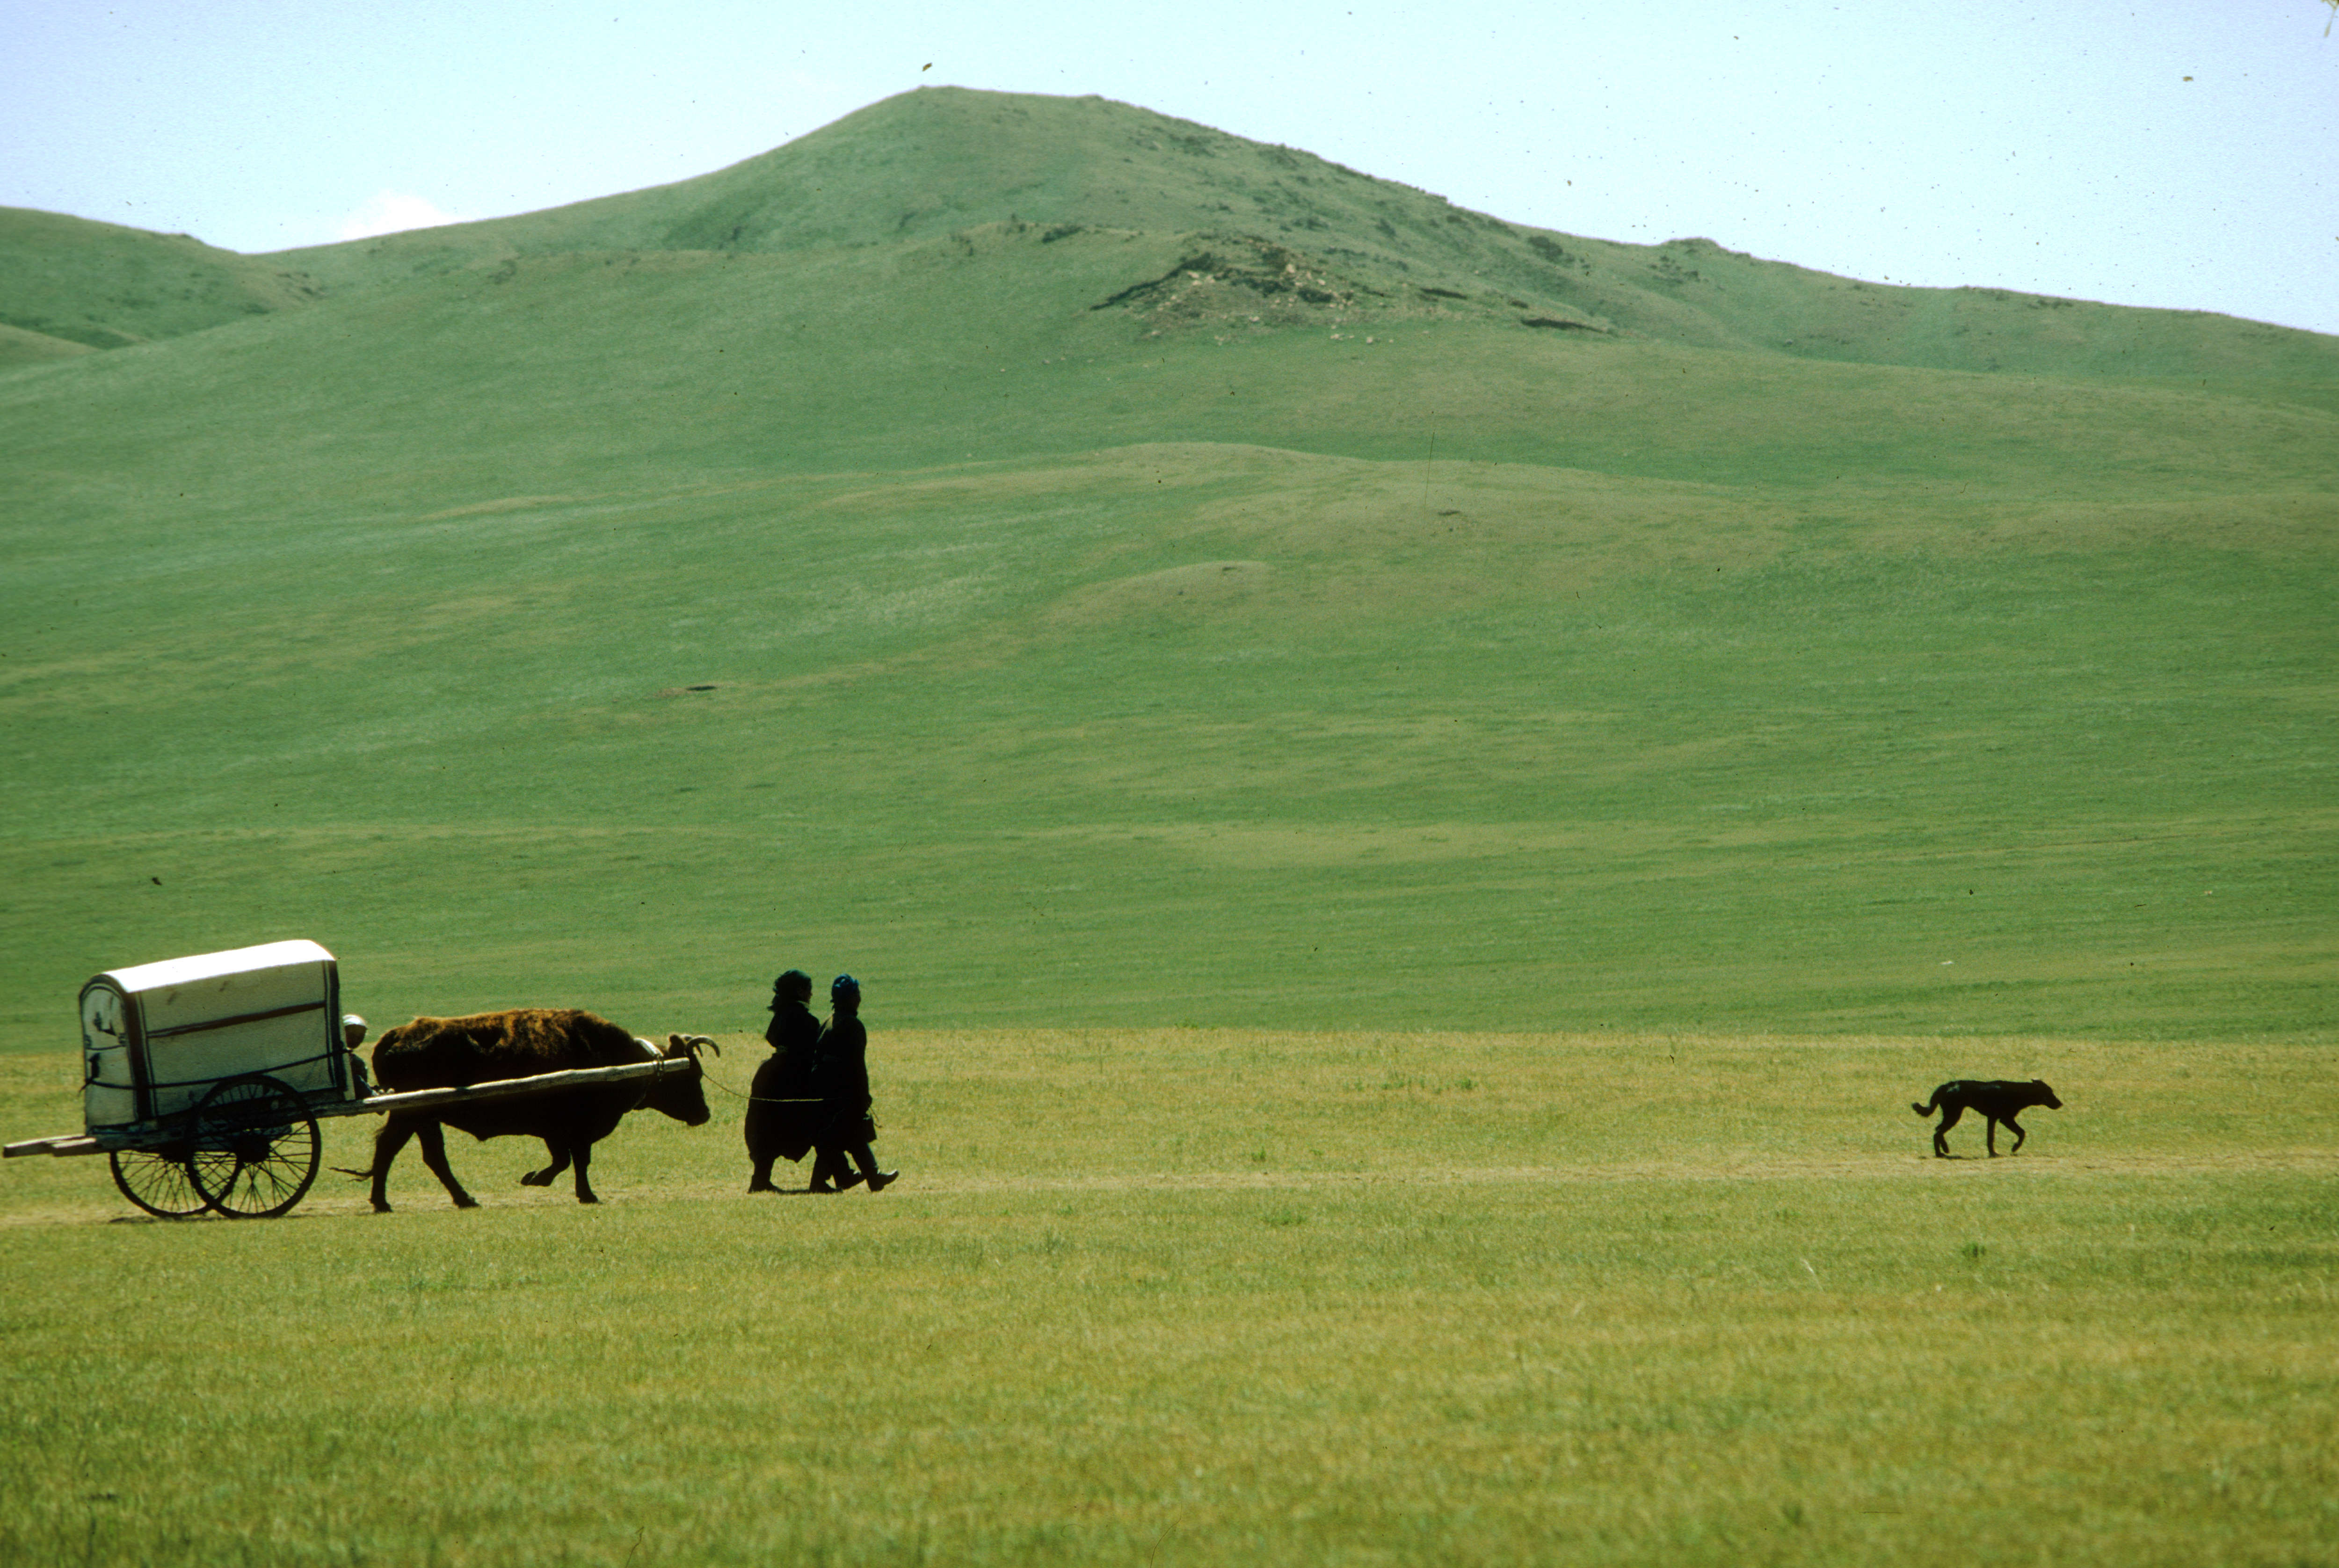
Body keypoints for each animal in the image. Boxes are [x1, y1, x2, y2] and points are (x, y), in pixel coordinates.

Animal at [1918, 1086, 2068, 1161]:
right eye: (2050, 1093)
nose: (2061, 1103)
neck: (2019, 1092)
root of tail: (1946, 1086)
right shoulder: (2005, 1119)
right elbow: (2022, 1132)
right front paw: (2015, 1147)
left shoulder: (1993, 1119)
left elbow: (1990, 1138)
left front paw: (1993, 1153)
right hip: (1953, 1115)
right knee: (1938, 1132)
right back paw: (1941, 1152)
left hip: (1951, 1115)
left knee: (1938, 1130)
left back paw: (1943, 1150)